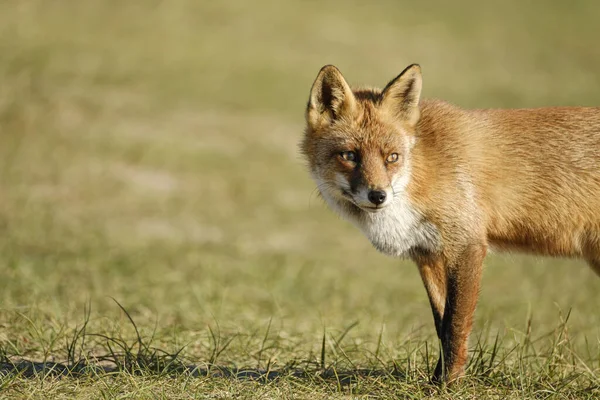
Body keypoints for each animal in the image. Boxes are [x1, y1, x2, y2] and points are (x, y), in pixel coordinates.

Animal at [302, 64, 600, 382]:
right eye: (349, 156)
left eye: (392, 157)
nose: (378, 195)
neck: (418, 177)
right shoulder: (428, 254)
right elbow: (441, 324)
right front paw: (438, 378)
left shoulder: (467, 245)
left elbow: (456, 325)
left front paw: (447, 383)